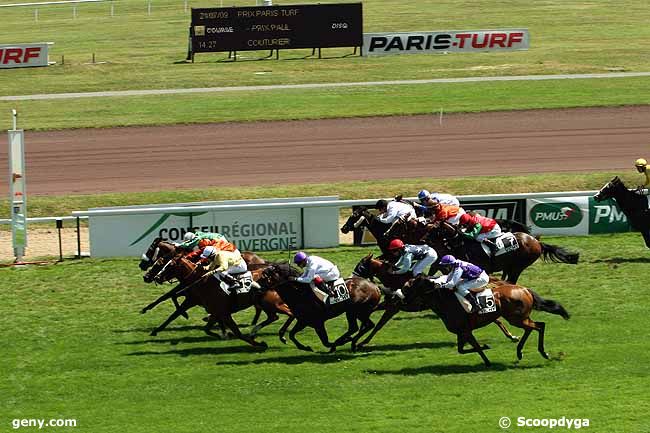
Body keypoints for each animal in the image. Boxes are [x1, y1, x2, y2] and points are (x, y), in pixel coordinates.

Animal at [350, 253, 516, 348]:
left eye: (361, 266)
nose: (352, 277)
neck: (396, 280)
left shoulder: (393, 307)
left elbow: (379, 325)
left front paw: (362, 342)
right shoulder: (389, 304)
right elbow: (373, 314)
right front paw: (360, 334)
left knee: (496, 319)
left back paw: (511, 336)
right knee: (495, 318)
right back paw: (510, 335)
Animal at [384, 219, 576, 284]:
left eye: (433, 229)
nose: (423, 240)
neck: (457, 244)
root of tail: (537, 241)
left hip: (518, 265)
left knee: (512, 280)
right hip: (510, 265)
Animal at [404, 274, 568, 364]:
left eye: (410, 285)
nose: (403, 298)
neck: (446, 301)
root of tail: (524, 289)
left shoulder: (465, 331)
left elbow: (475, 348)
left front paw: (486, 351)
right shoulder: (462, 332)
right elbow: (462, 350)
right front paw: (487, 358)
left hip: (516, 319)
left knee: (539, 326)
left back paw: (542, 352)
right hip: (520, 318)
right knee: (534, 327)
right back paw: (520, 352)